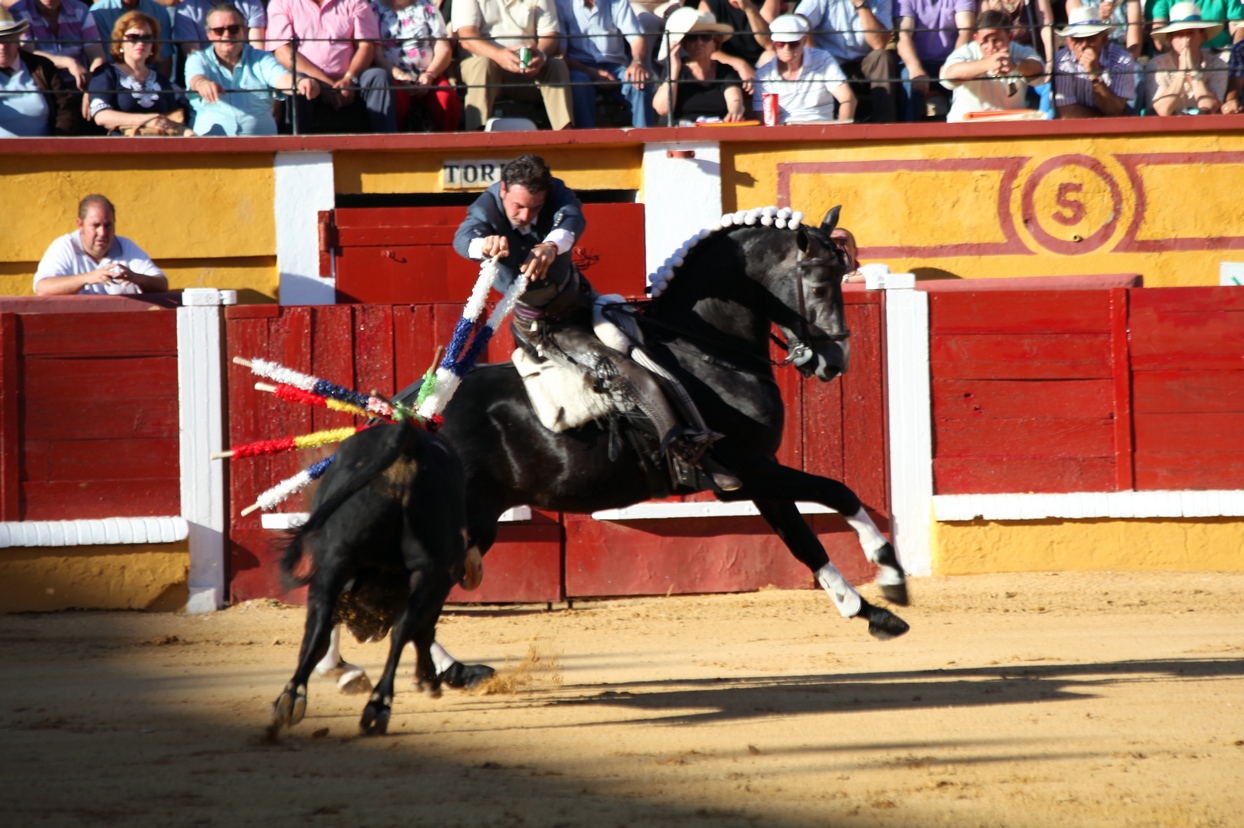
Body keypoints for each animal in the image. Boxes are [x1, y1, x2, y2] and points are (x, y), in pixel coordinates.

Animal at [318, 206, 905, 691]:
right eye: (821, 283)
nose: (835, 362)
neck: (706, 349)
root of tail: (407, 416)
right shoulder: (751, 468)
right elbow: (835, 495)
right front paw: (889, 579)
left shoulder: (757, 476)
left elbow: (804, 537)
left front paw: (872, 609)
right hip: (465, 519)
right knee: (394, 594)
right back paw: (406, 670)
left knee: (384, 593)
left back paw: (413, 670)